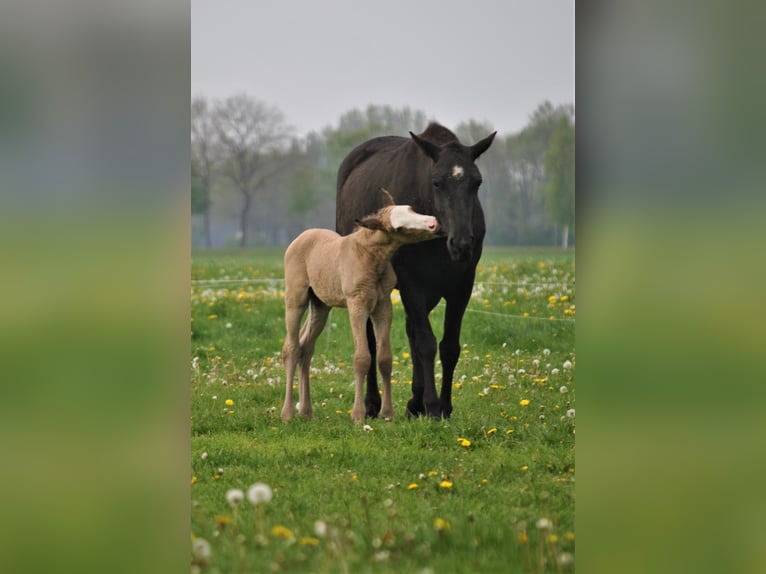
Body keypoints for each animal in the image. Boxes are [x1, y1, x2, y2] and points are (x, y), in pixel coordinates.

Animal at [336, 122, 496, 419]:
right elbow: (425, 343)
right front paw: (432, 406)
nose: (462, 244)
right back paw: (373, 403)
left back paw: (414, 401)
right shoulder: (411, 284)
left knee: (410, 331)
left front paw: (443, 405)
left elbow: (448, 346)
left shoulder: (461, 287)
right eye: (436, 182)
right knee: (370, 339)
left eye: (476, 182)